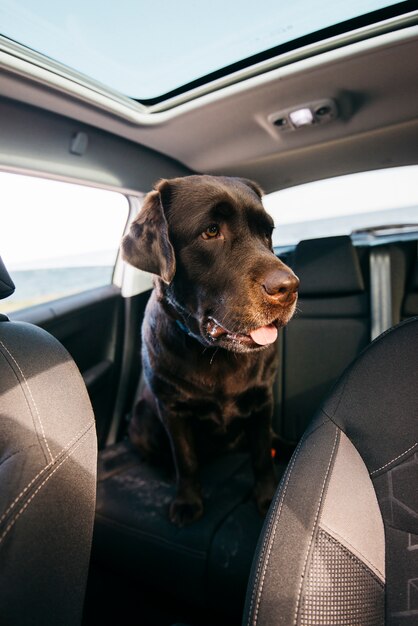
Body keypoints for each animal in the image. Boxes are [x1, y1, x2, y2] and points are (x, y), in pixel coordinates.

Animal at [122, 173, 298, 524]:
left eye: (267, 232)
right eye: (211, 231)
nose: (289, 287)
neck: (216, 356)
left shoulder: (262, 400)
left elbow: (261, 455)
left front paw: (267, 497)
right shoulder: (172, 409)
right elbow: (186, 459)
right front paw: (188, 502)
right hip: (141, 419)